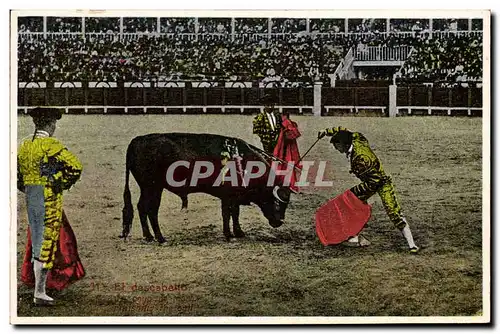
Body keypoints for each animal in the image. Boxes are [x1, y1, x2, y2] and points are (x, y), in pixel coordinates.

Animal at [120, 132, 292, 244]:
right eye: (276, 201)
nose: (279, 222)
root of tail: (136, 141)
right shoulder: (227, 196)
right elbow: (227, 214)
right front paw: (228, 235)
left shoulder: (234, 197)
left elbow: (235, 213)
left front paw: (238, 232)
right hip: (153, 187)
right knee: (150, 209)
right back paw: (159, 237)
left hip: (149, 188)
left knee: (142, 208)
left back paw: (149, 236)